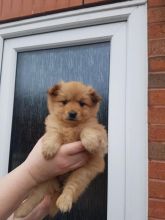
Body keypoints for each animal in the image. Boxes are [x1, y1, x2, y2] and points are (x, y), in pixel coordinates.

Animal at [14, 81, 107, 218]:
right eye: (64, 102)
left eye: (82, 103)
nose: (72, 113)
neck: (70, 127)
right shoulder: (53, 127)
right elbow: (55, 133)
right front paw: (49, 148)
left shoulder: (100, 132)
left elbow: (87, 129)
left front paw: (90, 143)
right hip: (47, 179)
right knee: (34, 196)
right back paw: (21, 211)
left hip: (80, 174)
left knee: (70, 187)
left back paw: (64, 201)